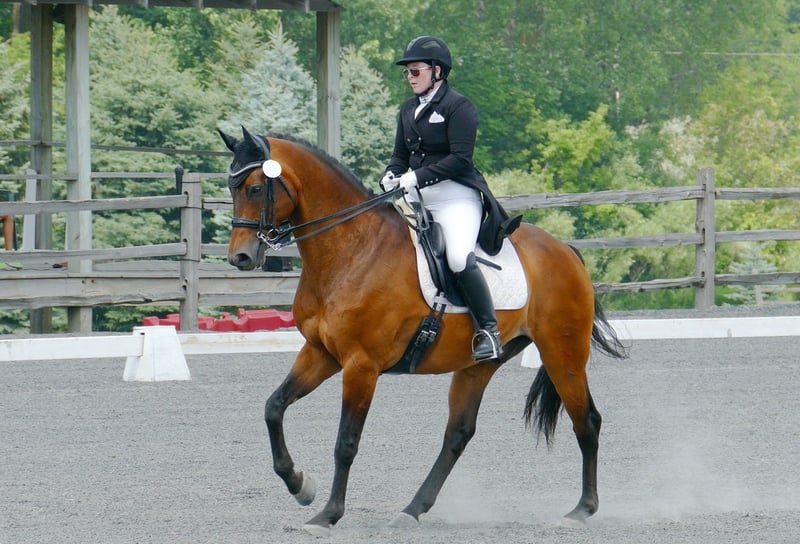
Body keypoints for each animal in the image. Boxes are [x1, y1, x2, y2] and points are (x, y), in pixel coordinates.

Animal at [219, 127, 627, 537]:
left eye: (255, 188)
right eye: (231, 186)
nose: (241, 258)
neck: (351, 250)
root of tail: (565, 251)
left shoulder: (361, 366)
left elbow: (346, 442)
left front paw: (328, 514)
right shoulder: (321, 352)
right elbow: (273, 407)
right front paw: (300, 485)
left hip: (563, 353)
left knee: (587, 422)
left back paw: (581, 509)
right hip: (478, 365)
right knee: (458, 433)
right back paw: (413, 508)